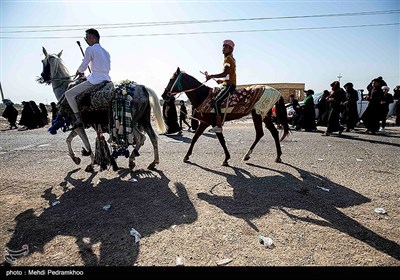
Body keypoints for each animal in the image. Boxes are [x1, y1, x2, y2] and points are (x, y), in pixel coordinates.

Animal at [39, 46, 167, 171]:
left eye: (43, 62)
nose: (42, 77)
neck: (65, 88)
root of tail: (143, 87)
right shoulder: (78, 127)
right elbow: (69, 139)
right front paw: (76, 159)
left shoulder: (78, 125)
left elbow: (86, 144)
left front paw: (90, 164)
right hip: (144, 120)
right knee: (153, 138)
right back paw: (153, 162)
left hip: (131, 123)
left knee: (141, 138)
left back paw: (132, 160)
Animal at [161, 67, 290, 166]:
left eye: (171, 79)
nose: (163, 95)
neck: (203, 95)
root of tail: (277, 92)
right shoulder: (206, 123)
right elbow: (196, 138)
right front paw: (187, 156)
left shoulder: (212, 123)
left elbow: (220, 140)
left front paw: (226, 159)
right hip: (263, 115)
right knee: (270, 133)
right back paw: (273, 156)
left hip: (259, 113)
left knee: (263, 133)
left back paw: (254, 155)